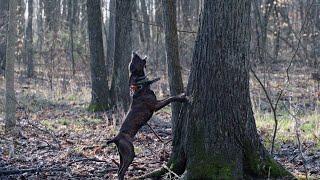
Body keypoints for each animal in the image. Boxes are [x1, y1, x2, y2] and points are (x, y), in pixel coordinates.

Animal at [107, 52, 188, 180]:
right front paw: (182, 97)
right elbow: (170, 98)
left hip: (121, 155)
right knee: (121, 171)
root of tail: (116, 138)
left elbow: (168, 98)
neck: (140, 86)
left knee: (119, 170)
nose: (134, 52)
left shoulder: (157, 102)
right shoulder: (155, 105)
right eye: (133, 61)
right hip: (129, 153)